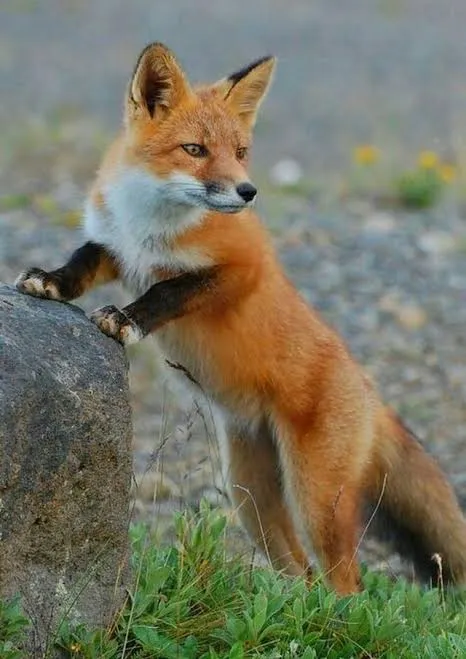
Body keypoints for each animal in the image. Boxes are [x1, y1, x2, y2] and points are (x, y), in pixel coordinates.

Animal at [15, 42, 466, 595]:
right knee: (303, 574)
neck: (150, 225)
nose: (248, 192)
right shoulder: (114, 246)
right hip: (250, 496)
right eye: (195, 149)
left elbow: (168, 290)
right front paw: (50, 283)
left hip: (317, 500)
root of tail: (371, 393)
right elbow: (81, 262)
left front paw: (127, 319)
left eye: (241, 152)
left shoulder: (242, 268)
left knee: (346, 585)